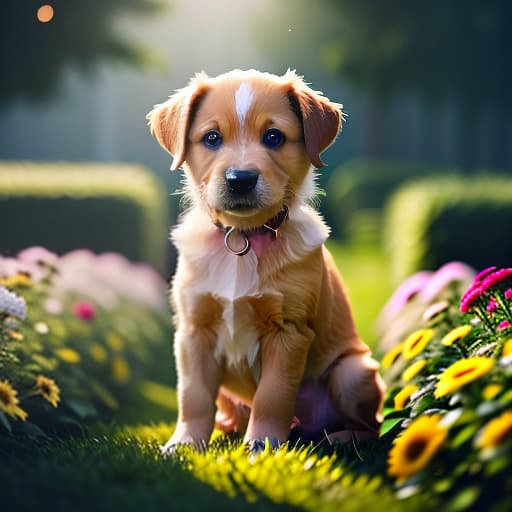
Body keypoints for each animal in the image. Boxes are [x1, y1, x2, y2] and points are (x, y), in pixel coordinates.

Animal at [146, 69, 382, 452]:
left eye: (274, 137)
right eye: (212, 138)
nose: (240, 179)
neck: (241, 238)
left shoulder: (288, 331)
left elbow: (273, 395)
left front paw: (262, 444)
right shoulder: (194, 330)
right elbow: (193, 395)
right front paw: (185, 443)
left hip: (352, 373)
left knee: (372, 426)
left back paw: (341, 437)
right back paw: (229, 428)